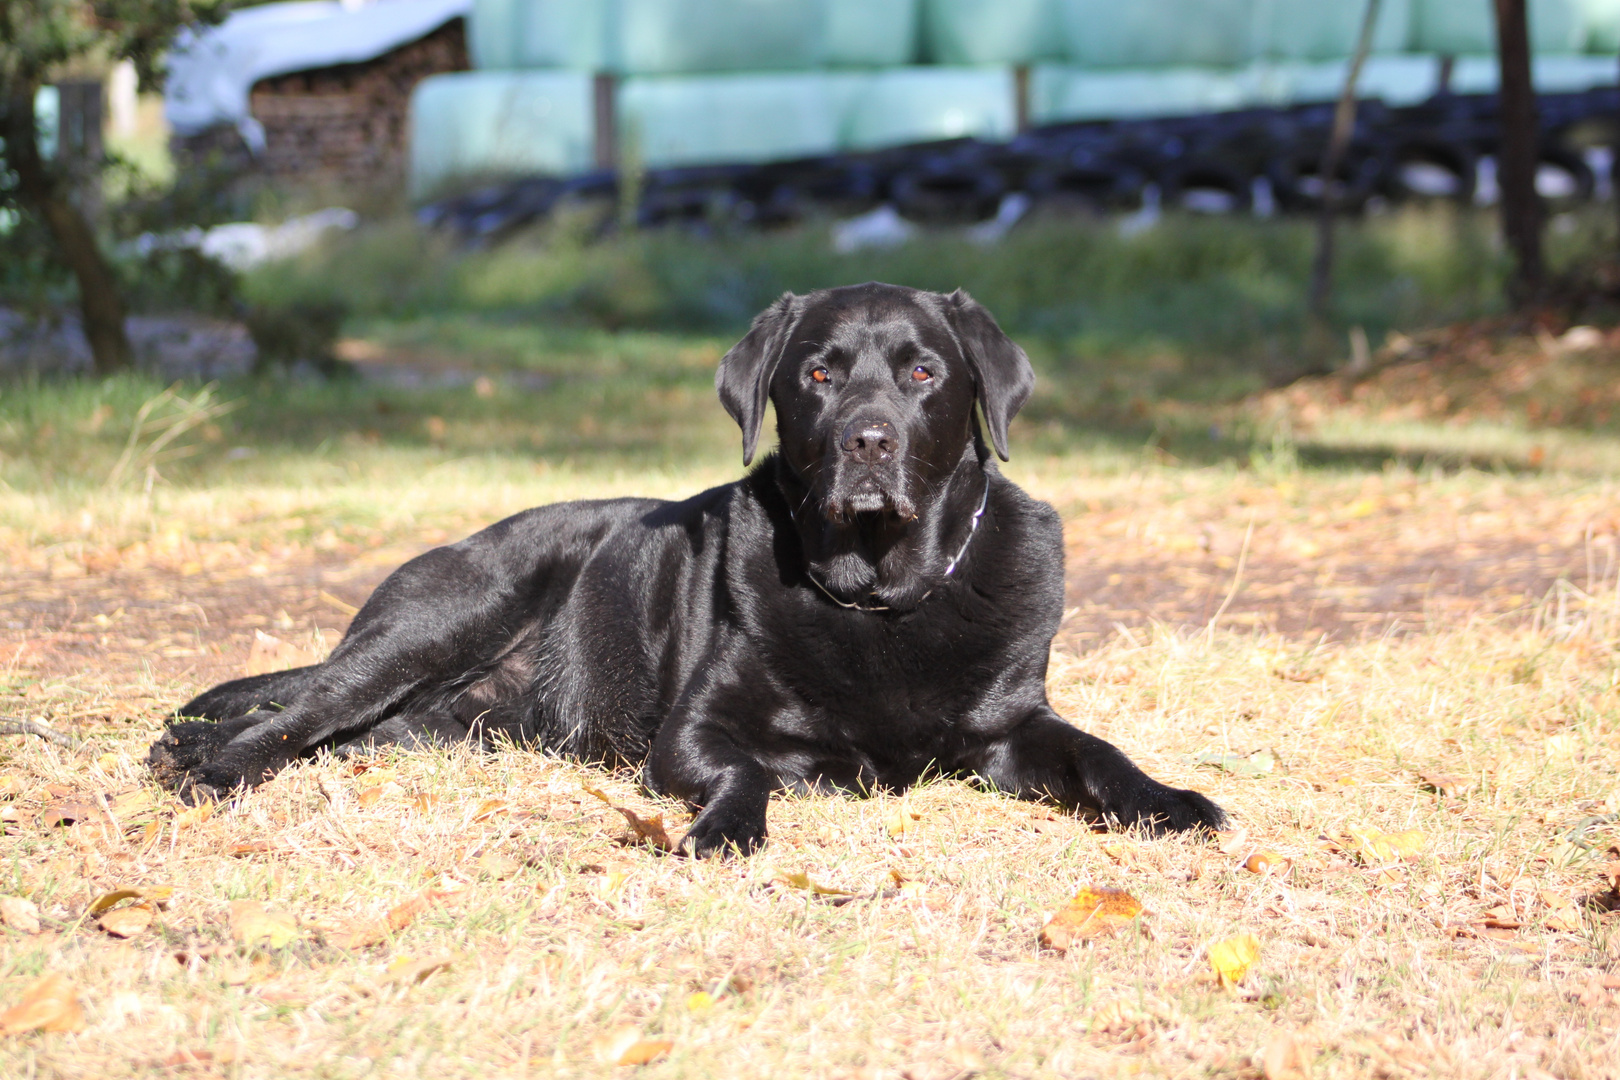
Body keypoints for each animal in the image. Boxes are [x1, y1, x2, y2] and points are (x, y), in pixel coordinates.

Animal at [149, 284, 1218, 854]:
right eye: (819, 374)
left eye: (924, 373)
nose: (868, 441)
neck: (882, 600)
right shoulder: (693, 732)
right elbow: (744, 768)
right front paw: (728, 827)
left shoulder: (1013, 726)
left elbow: (1097, 751)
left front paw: (1168, 801)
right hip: (447, 611)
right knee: (297, 708)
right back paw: (202, 762)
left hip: (439, 725)